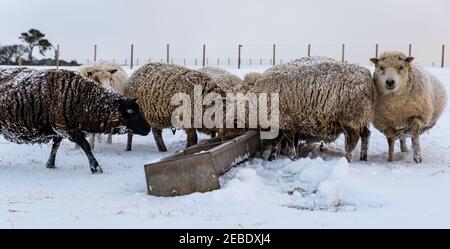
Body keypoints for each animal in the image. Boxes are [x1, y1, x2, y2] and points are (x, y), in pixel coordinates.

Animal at [0, 67, 151, 173]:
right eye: (131, 112)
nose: (148, 128)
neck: (83, 100)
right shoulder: (65, 128)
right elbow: (86, 145)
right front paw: (96, 168)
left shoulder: (60, 128)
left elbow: (55, 146)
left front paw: (50, 165)